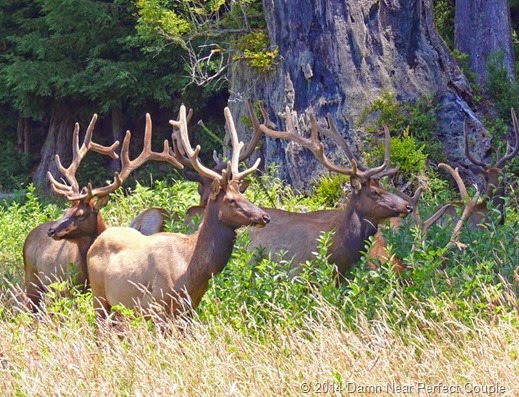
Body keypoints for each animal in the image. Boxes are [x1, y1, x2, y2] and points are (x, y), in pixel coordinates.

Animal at [23, 112, 184, 310]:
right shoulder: (68, 288)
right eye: (66, 210)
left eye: (80, 214)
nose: (52, 230)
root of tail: (29, 235)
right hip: (31, 278)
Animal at [87, 103, 270, 318]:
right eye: (231, 200)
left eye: (244, 195)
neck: (192, 272)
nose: (265, 216)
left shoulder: (188, 308)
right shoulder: (155, 305)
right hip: (99, 296)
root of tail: (95, 243)